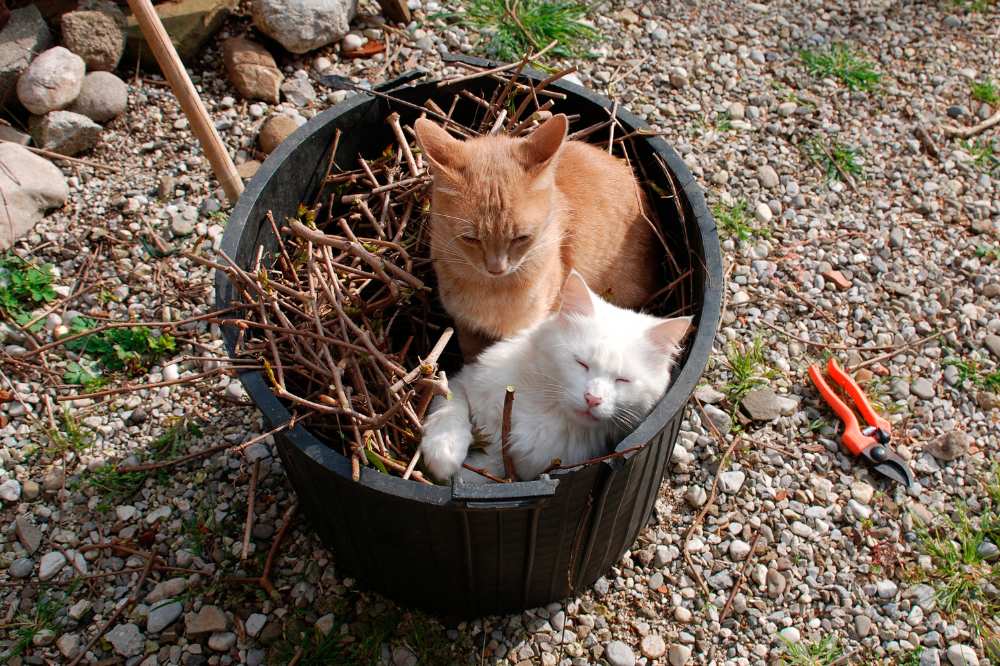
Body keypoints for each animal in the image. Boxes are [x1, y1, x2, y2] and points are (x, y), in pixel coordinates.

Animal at [418, 270, 692, 482]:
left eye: (622, 380)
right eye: (581, 363)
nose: (592, 399)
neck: (548, 413)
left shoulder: (515, 468)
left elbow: (481, 474)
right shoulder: (464, 381)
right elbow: (449, 408)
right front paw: (444, 452)